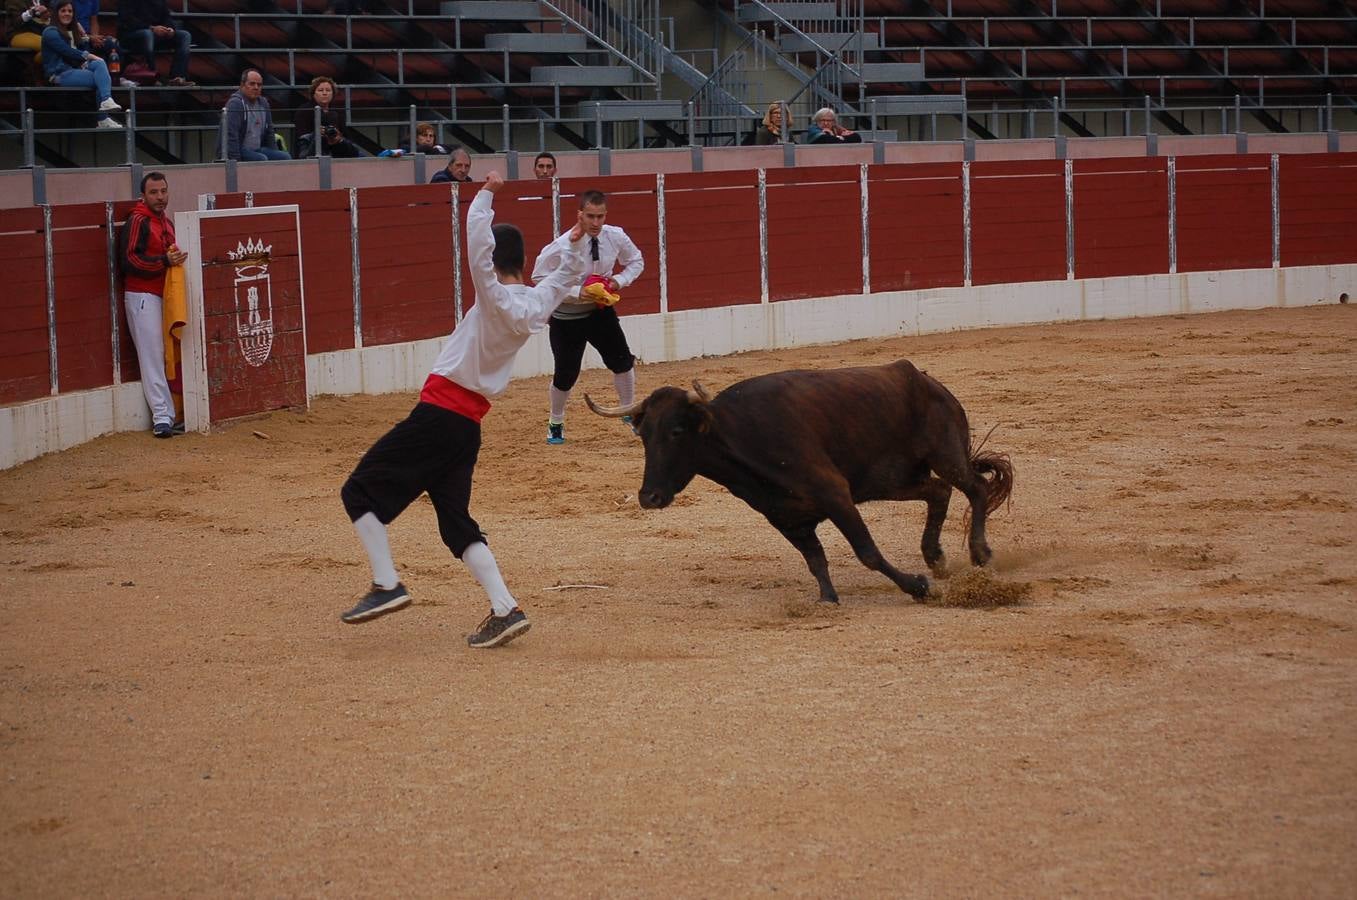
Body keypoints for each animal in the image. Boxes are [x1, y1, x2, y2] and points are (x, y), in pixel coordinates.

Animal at [588, 358, 1015, 605]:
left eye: (677, 432)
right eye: (645, 435)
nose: (649, 496)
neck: (743, 436)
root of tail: (931, 383)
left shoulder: (836, 495)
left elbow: (867, 552)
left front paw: (917, 586)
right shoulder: (786, 517)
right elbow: (815, 560)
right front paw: (827, 599)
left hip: (946, 455)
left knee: (974, 488)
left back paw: (980, 554)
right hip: (892, 480)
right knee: (938, 492)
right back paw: (936, 557)